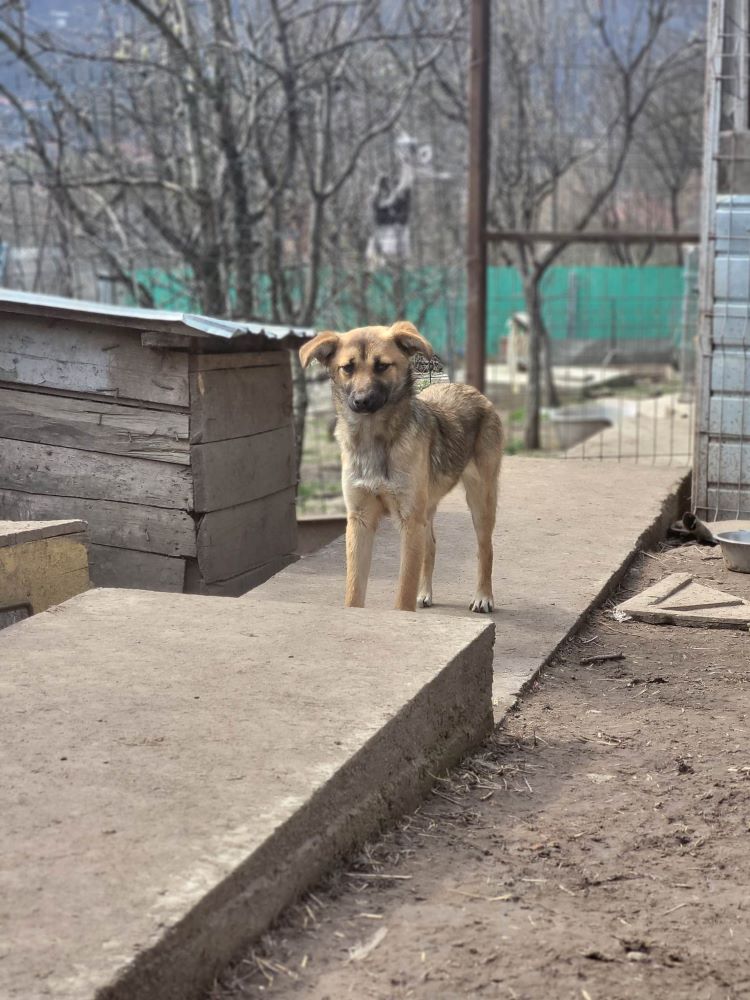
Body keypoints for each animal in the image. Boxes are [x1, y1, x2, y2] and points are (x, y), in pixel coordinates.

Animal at [300, 324, 506, 612]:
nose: (361, 401)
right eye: (347, 368)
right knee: (431, 546)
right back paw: (425, 593)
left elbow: (404, 592)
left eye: (382, 366)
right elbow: (354, 590)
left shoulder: (409, 521)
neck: (375, 441)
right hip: (427, 507)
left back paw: (483, 597)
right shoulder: (361, 521)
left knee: (485, 548)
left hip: (480, 499)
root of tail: (470, 389)